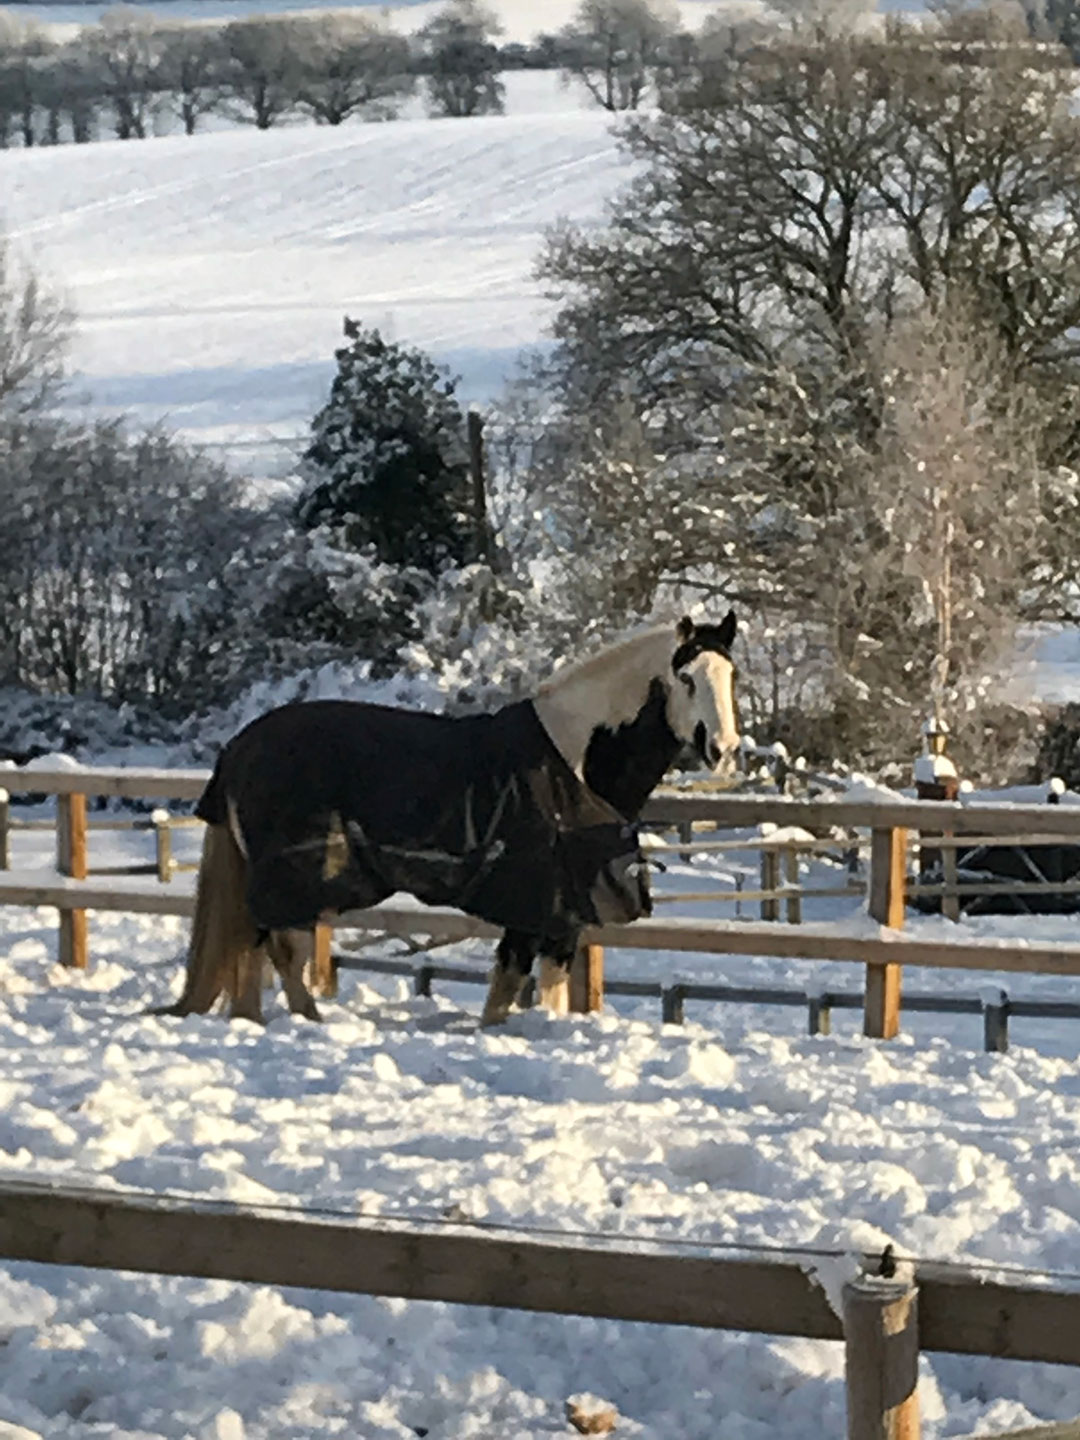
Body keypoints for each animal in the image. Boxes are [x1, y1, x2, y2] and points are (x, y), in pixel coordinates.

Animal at [164, 607, 743, 1025]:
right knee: (283, 950)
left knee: (256, 952)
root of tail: (239, 748)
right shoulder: (534, 907)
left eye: (731, 674)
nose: (725, 748)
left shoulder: (564, 916)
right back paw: (313, 1023)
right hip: (295, 877)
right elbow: (504, 993)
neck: (571, 759)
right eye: (687, 678)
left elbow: (545, 992)